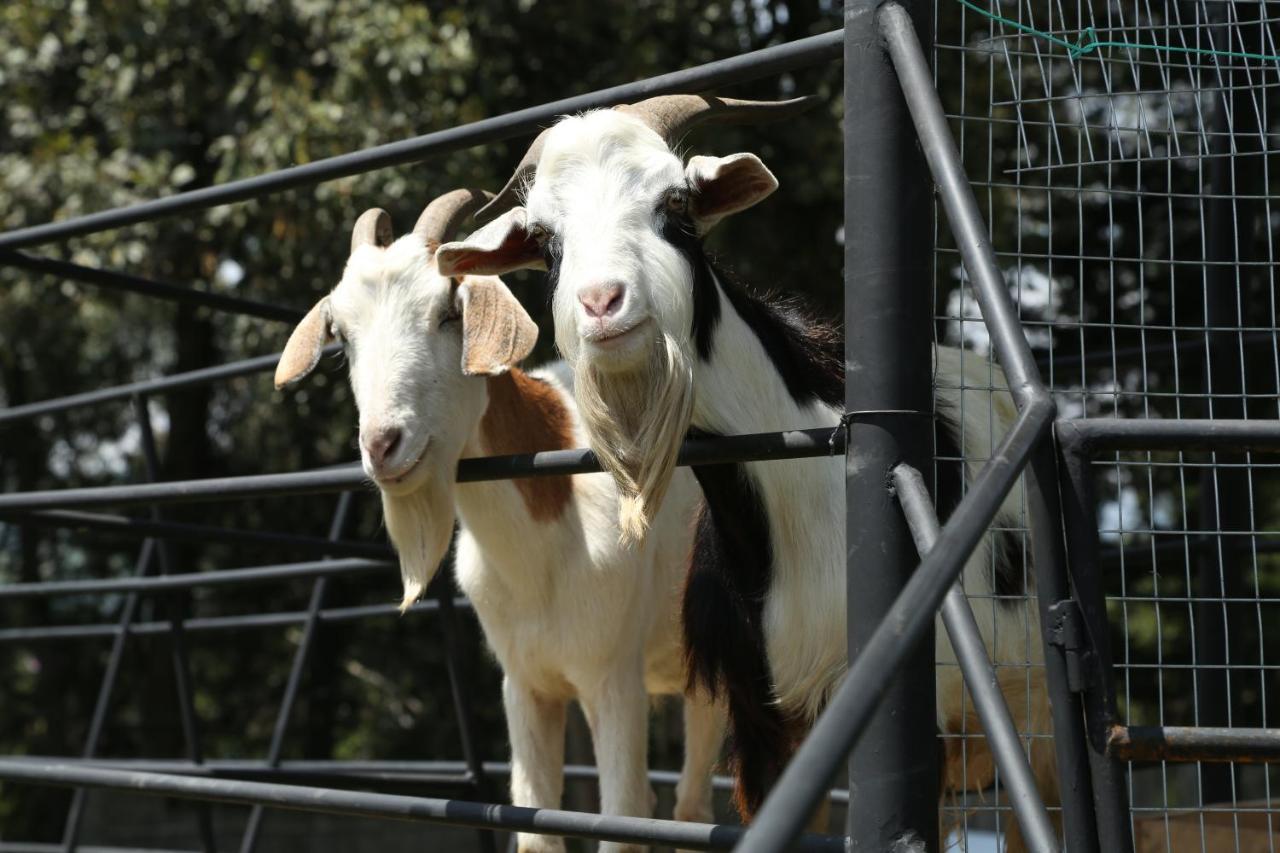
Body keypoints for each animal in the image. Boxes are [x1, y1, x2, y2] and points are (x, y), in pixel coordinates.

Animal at [271, 190, 727, 850]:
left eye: (446, 313)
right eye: (343, 337)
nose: (383, 445)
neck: (543, 543)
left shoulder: (613, 678)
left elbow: (622, 817)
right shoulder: (524, 682)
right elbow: (537, 826)